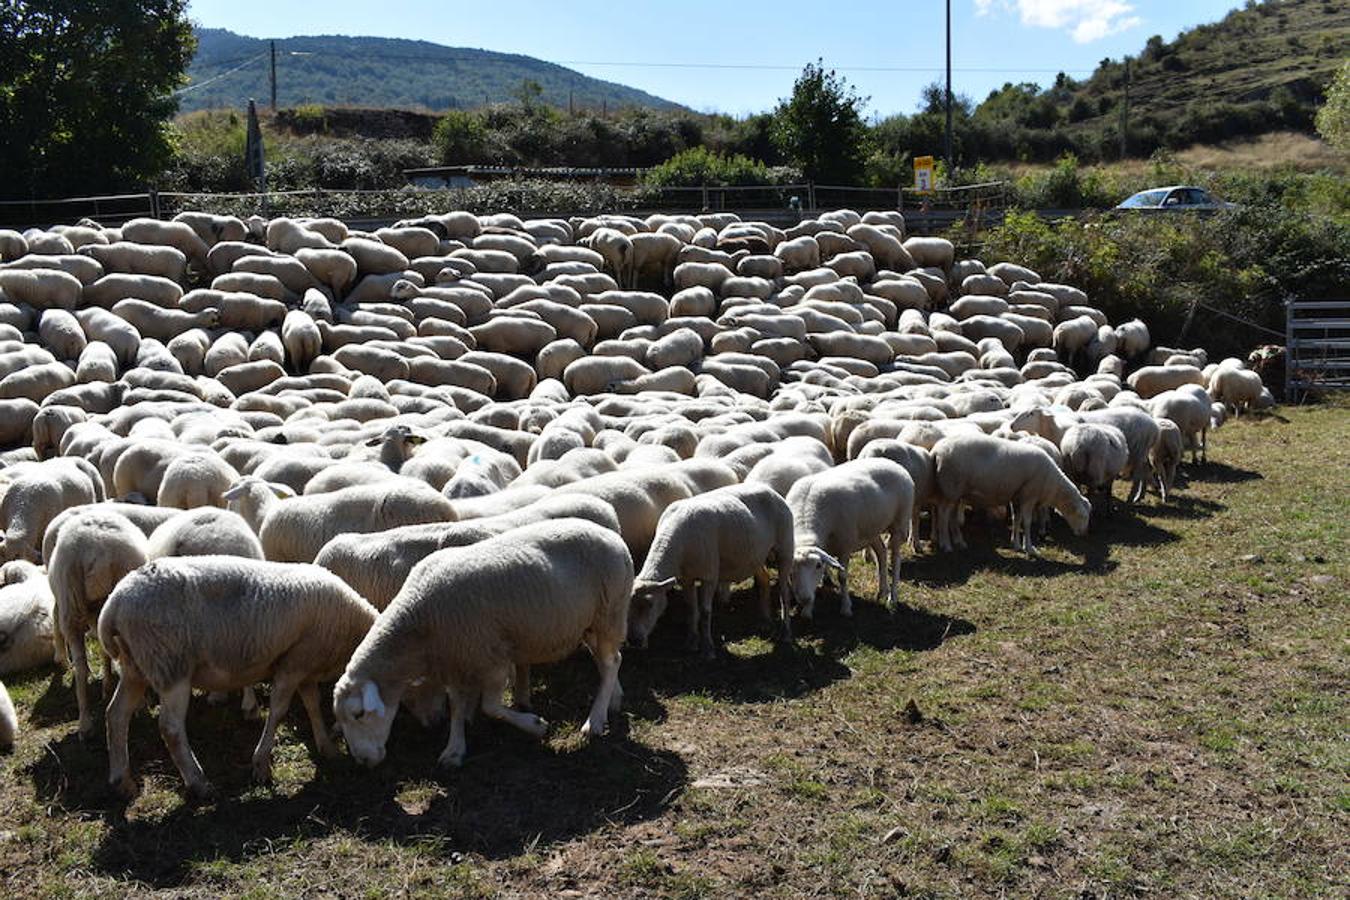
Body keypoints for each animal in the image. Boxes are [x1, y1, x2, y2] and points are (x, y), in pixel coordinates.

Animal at [98, 558, 380, 798]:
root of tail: (114, 603)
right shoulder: (293, 665)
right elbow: (279, 711)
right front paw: (261, 765)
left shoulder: (304, 662)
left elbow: (312, 705)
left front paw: (326, 747)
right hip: (170, 664)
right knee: (170, 727)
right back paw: (198, 783)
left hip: (137, 665)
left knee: (116, 714)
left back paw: (122, 782)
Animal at [334, 520, 634, 766]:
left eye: (358, 714)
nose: (362, 761)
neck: (419, 619)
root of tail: (614, 538)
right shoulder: (456, 661)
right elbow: (456, 707)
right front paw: (454, 749)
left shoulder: (491, 659)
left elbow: (490, 708)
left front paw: (535, 725)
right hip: (589, 622)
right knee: (610, 660)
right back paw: (613, 700)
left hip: (610, 612)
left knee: (610, 663)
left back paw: (594, 721)